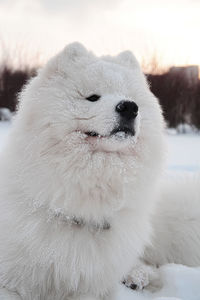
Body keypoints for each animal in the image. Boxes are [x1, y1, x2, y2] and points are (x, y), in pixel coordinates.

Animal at [0, 42, 198, 300]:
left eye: (130, 98)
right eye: (93, 97)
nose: (129, 107)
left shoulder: (91, 286)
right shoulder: (12, 281)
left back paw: (137, 276)